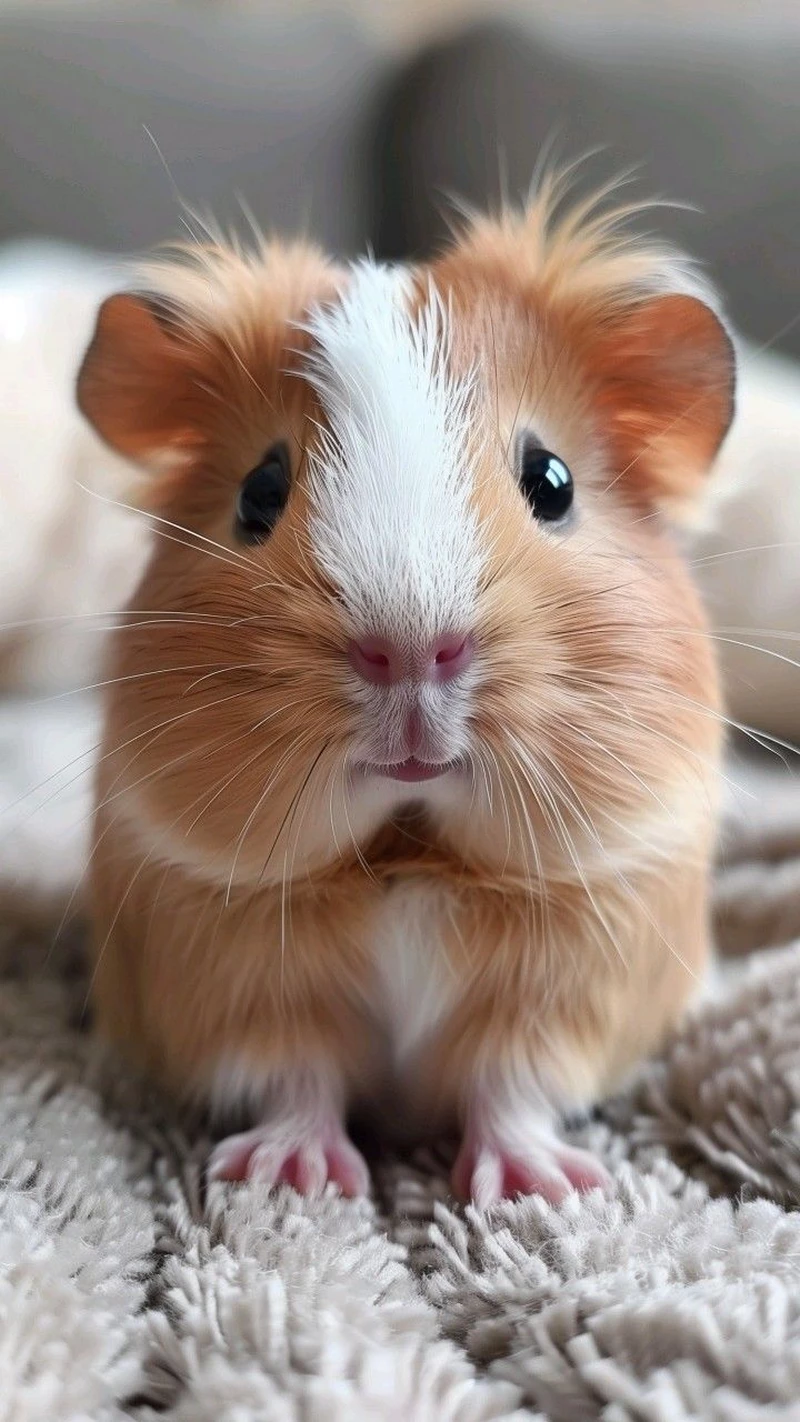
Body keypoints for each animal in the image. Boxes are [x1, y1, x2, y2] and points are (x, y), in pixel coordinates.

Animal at [76, 183, 734, 1206]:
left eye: (552, 481)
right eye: (259, 492)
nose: (414, 651)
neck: (408, 857)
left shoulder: (568, 987)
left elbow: (511, 1088)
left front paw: (540, 1189)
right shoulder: (234, 982)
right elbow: (296, 1078)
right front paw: (290, 1180)